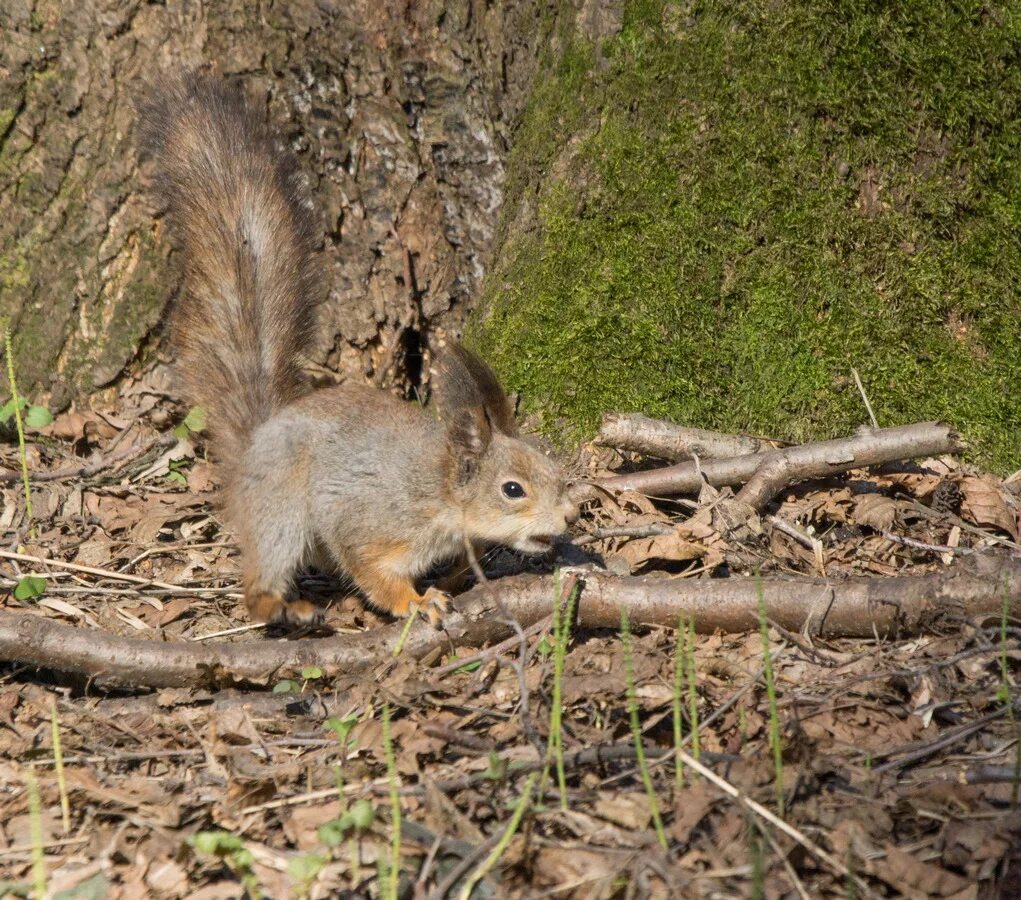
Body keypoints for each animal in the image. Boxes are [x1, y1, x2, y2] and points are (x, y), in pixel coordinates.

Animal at [139, 75, 579, 625]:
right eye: (512, 489)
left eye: (551, 468)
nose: (571, 514)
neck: (438, 489)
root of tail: (255, 443)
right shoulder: (373, 525)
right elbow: (370, 570)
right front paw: (418, 603)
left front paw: (453, 581)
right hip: (282, 506)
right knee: (264, 573)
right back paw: (282, 606)